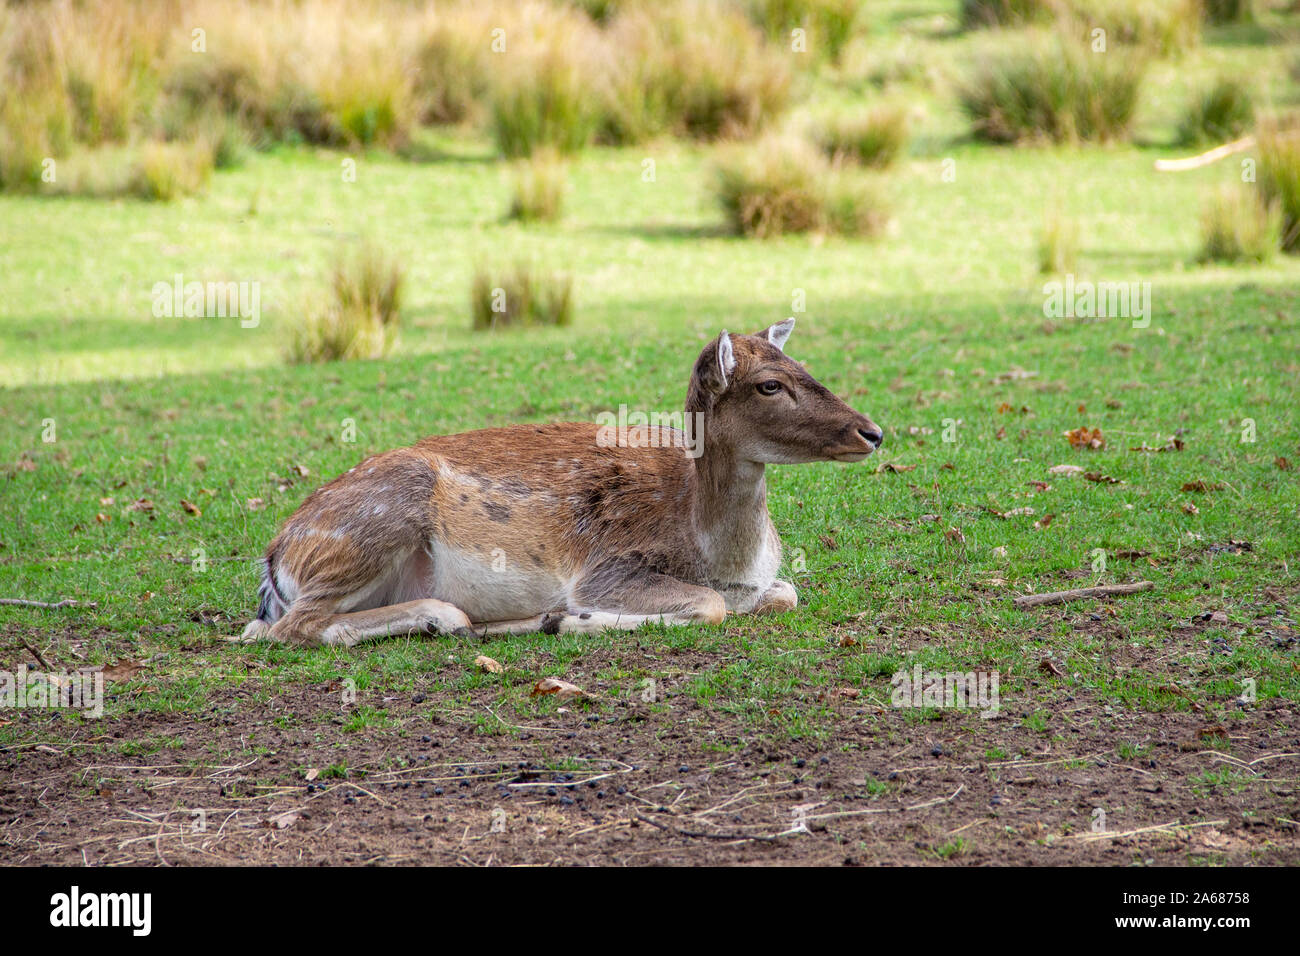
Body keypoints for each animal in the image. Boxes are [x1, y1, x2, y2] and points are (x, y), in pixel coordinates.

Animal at [241, 317, 883, 647]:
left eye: (803, 367)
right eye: (769, 384)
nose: (873, 432)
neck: (726, 559)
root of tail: (276, 556)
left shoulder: (768, 583)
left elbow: (786, 592)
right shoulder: (609, 568)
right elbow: (709, 605)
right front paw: (572, 616)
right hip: (374, 525)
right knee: (282, 630)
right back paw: (452, 617)